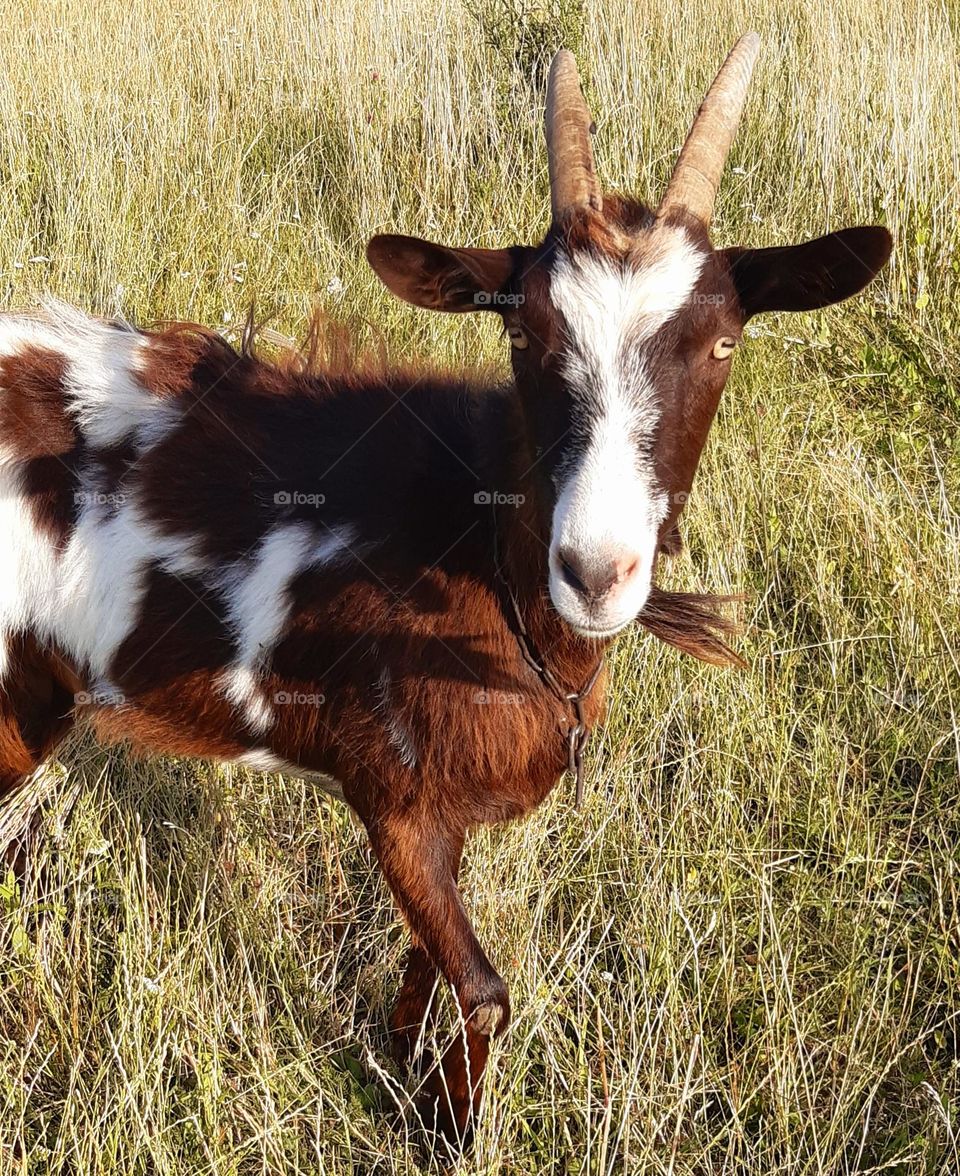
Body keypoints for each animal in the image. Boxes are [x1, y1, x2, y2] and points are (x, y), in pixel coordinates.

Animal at [0, 34, 889, 1138]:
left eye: (724, 342)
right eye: (523, 337)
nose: (595, 571)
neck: (479, 562)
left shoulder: (443, 809)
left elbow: (430, 970)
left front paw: (408, 1080)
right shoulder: (391, 793)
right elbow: (483, 991)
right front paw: (452, 1130)